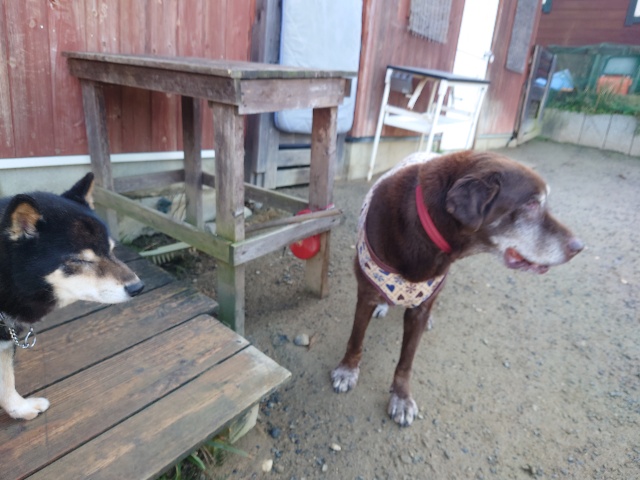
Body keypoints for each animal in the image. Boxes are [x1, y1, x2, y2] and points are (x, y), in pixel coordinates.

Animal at [331, 150, 583, 427]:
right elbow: (356, 339)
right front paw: (347, 370)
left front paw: (401, 397)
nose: (579, 247)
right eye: (531, 204)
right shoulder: (365, 293)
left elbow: (406, 361)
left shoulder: (422, 304)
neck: (424, 230)